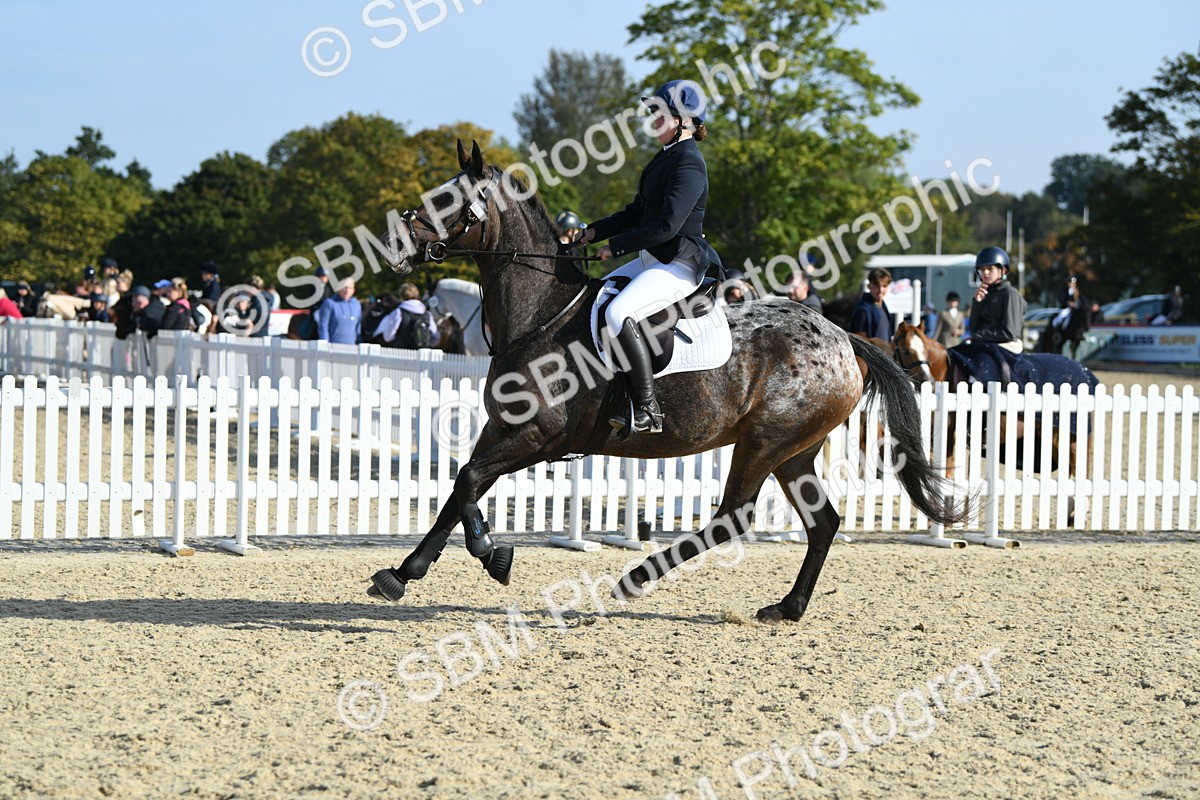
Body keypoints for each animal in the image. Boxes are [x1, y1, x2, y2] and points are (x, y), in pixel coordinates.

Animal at [363, 140, 966, 623]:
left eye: (446, 201)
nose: (394, 246)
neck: (542, 316)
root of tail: (844, 338)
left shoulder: (539, 437)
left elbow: (468, 481)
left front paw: (475, 555)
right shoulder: (505, 430)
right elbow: (461, 485)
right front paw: (426, 565)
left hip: (764, 441)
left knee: (732, 518)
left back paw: (636, 579)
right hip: (795, 449)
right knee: (822, 523)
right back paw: (787, 608)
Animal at [891, 321, 1095, 480]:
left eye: (925, 349)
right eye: (905, 350)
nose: (928, 380)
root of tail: (1086, 374)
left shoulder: (947, 438)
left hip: (1065, 440)